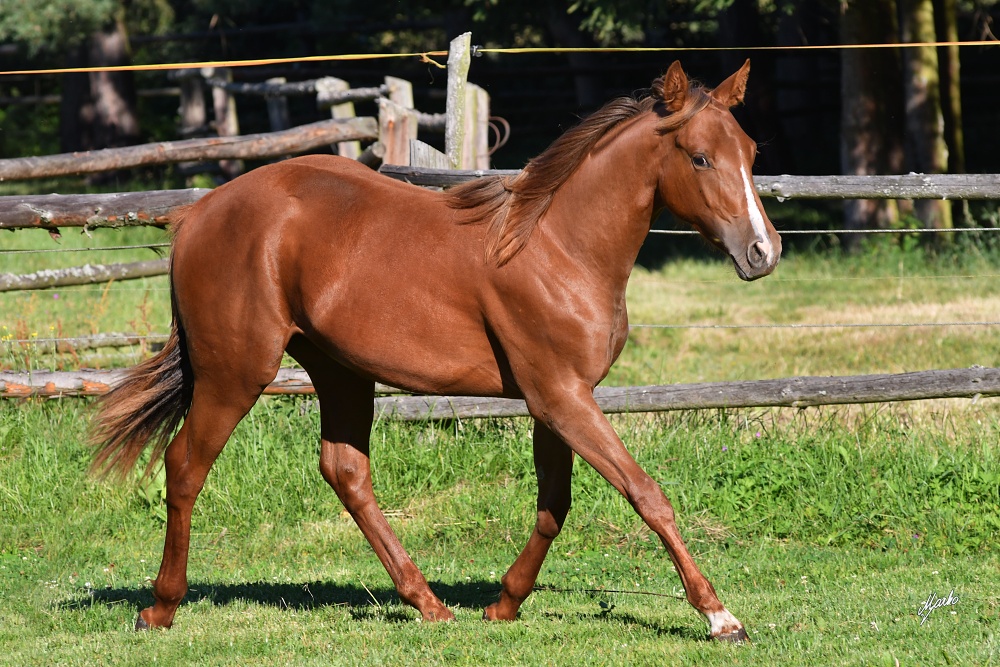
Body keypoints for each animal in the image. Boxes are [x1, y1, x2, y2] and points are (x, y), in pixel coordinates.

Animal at [92, 62, 780, 640]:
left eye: (749, 153)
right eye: (700, 157)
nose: (763, 253)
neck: (556, 247)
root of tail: (198, 214)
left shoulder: (557, 400)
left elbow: (554, 505)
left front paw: (504, 603)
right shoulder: (561, 398)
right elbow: (646, 494)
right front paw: (720, 616)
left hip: (340, 373)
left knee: (346, 472)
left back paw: (427, 603)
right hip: (234, 373)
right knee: (185, 466)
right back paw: (161, 607)